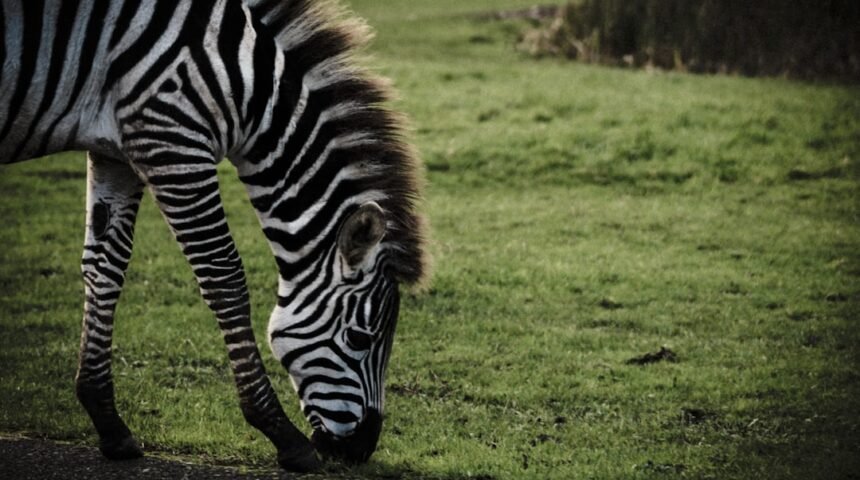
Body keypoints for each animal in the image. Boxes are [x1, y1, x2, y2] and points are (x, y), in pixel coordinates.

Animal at [0, 0, 428, 471]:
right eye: (359, 339)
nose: (361, 450)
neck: (245, 82)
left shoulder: (117, 149)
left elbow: (105, 266)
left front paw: (107, 421)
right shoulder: (172, 141)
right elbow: (224, 278)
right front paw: (280, 432)